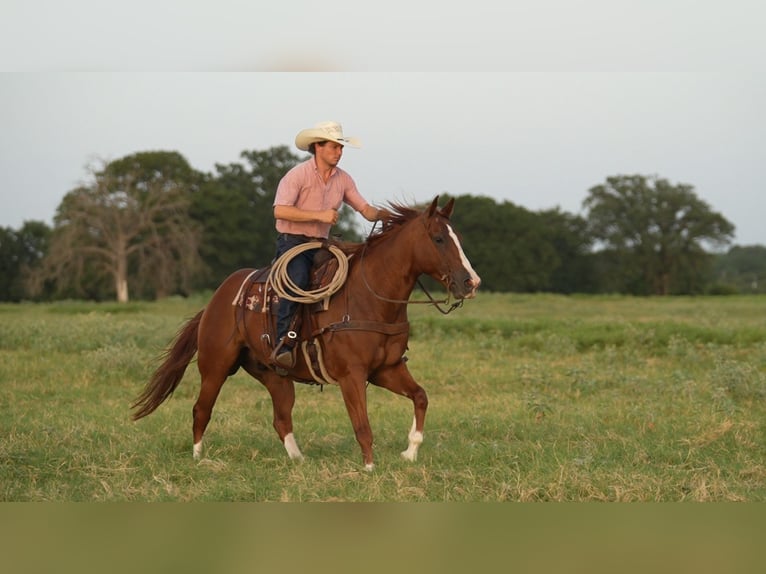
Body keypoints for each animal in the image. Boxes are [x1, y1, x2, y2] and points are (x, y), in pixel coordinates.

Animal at [131, 196, 481, 470]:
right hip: (215, 366)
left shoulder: (387, 369)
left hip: (275, 375)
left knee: (281, 417)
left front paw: (410, 452)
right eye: (438, 238)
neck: (371, 297)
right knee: (201, 409)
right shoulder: (351, 375)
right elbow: (362, 425)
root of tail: (215, 301)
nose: (471, 282)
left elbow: (421, 396)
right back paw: (199, 458)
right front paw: (369, 468)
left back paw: (299, 460)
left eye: (459, 237)